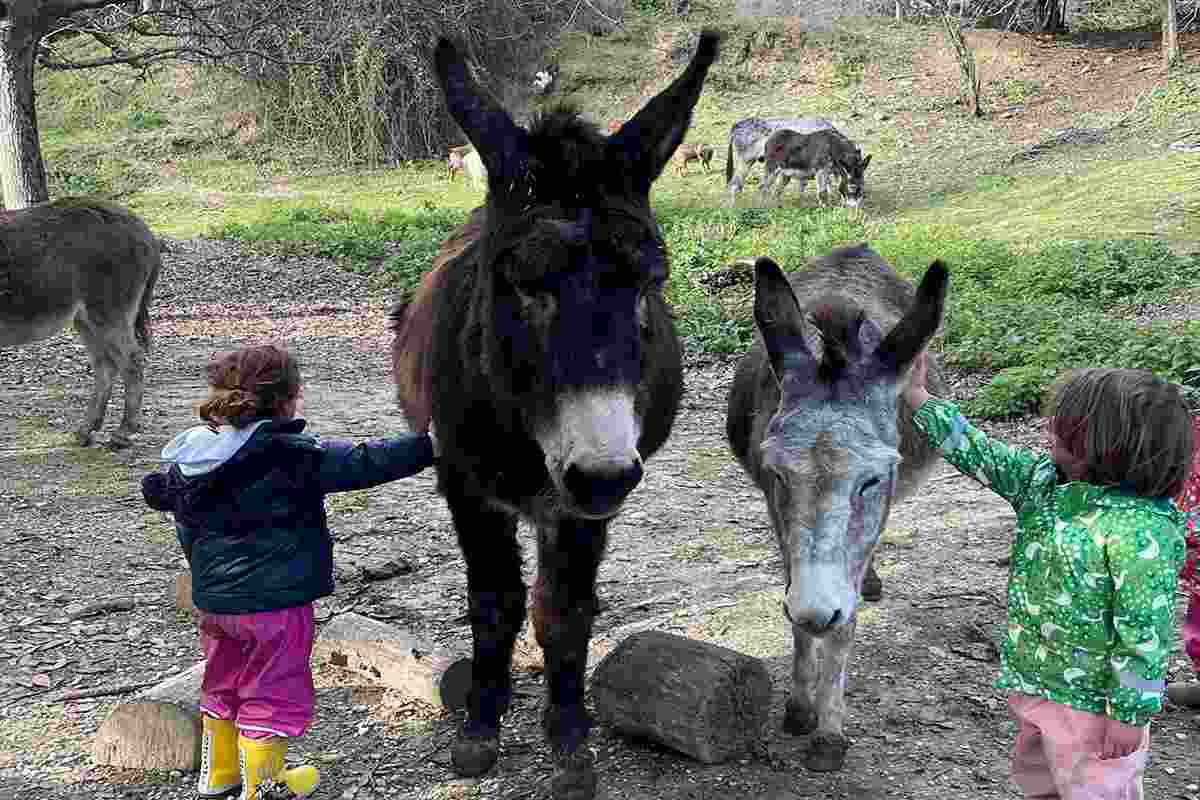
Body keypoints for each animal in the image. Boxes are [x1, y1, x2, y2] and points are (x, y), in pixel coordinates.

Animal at [391, 28, 720, 796]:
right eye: (518, 285)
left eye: (650, 283)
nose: (602, 474)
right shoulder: (465, 485)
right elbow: (494, 604)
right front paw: (480, 727)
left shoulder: (581, 507)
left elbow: (564, 611)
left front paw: (568, 740)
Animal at [724, 242, 950, 767]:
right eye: (778, 474)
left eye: (871, 479)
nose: (816, 609)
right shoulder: (778, 515)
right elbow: (797, 616)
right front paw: (800, 707)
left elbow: (844, 627)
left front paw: (829, 731)